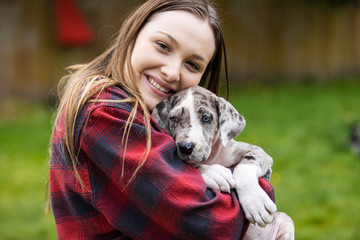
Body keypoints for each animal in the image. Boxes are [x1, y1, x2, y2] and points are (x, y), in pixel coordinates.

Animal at [152, 85, 296, 239]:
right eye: (173, 118)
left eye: (206, 118)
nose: (186, 147)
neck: (213, 156)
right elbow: (194, 165)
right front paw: (214, 174)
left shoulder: (258, 152)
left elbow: (242, 168)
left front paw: (255, 202)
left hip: (286, 221)